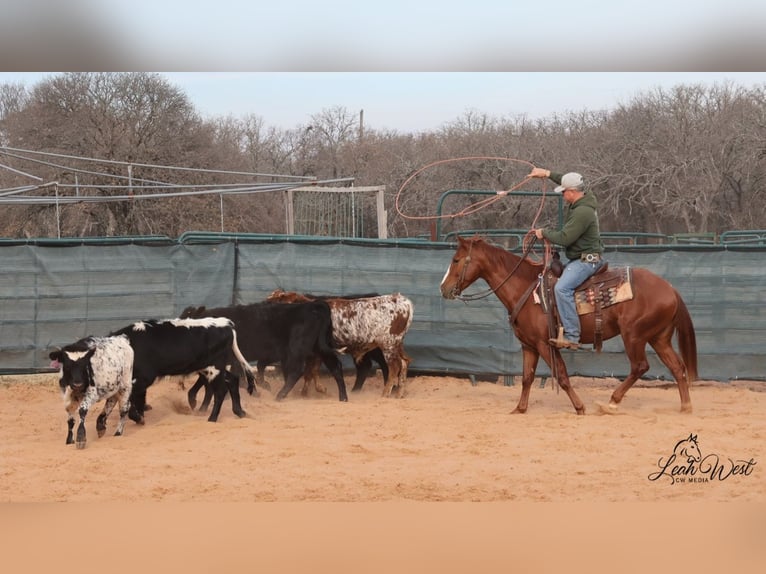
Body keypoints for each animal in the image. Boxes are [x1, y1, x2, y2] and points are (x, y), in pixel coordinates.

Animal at [439, 235, 698, 415]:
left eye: (456, 260)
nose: (443, 288)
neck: (526, 290)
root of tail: (670, 289)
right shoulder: (529, 346)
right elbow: (526, 377)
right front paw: (520, 409)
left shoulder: (545, 344)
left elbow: (562, 376)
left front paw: (580, 407)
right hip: (658, 337)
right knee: (677, 367)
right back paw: (685, 406)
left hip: (634, 336)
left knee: (640, 366)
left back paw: (612, 402)